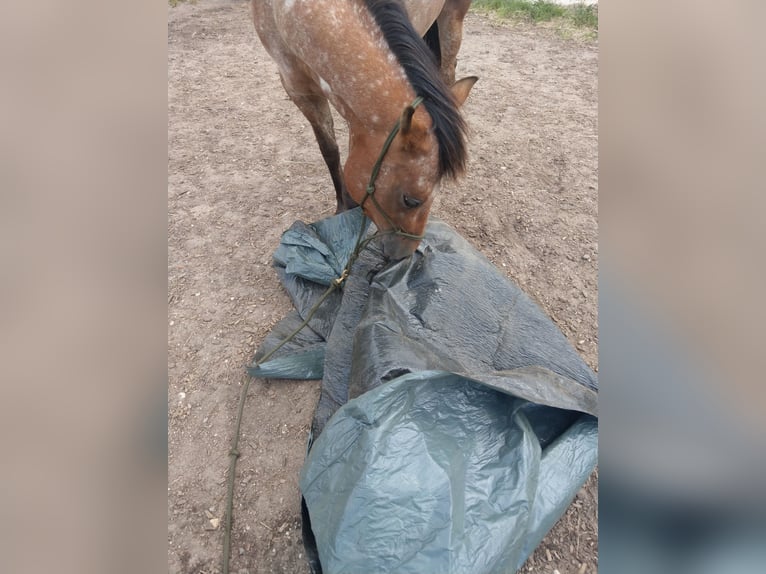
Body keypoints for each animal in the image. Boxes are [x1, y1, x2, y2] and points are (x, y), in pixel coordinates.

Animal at [254, 0, 480, 258]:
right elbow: (329, 151)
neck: (286, 12)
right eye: (410, 200)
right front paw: (344, 206)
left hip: (453, 15)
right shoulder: (299, 90)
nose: (404, 254)